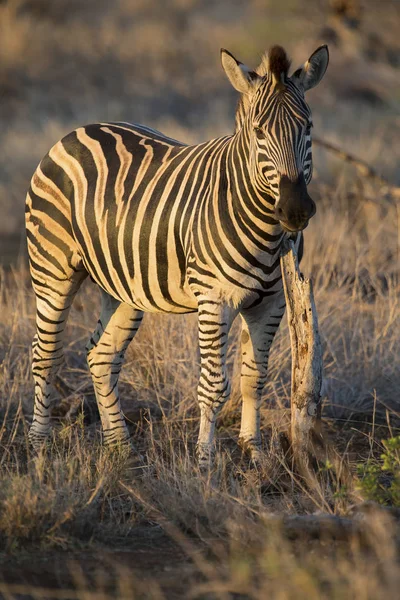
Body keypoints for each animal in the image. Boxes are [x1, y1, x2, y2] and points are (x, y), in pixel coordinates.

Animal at [26, 44, 330, 466]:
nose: (296, 210)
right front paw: (205, 463)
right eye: (258, 132)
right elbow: (214, 386)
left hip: (123, 285)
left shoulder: (272, 302)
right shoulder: (214, 299)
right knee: (45, 353)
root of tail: (78, 130)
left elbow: (254, 378)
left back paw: (122, 449)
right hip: (52, 270)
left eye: (309, 127)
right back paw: (39, 446)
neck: (266, 229)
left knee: (101, 357)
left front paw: (253, 452)